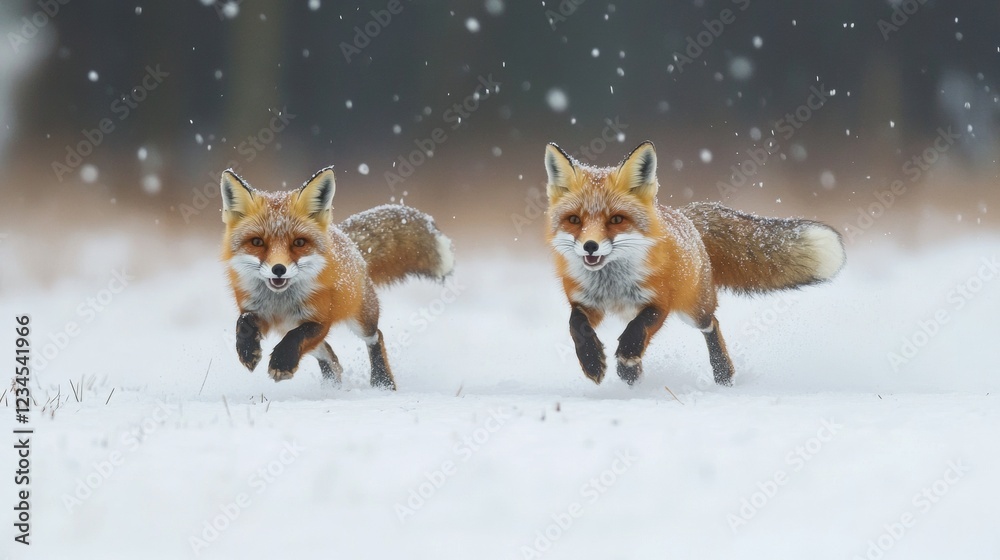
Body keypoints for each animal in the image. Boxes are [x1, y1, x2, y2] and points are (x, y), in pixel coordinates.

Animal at [220, 166, 455, 390]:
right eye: (257, 242)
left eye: (299, 243)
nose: (279, 269)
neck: (280, 302)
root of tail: (349, 242)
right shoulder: (256, 311)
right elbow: (243, 322)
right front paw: (248, 351)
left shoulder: (320, 319)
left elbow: (296, 337)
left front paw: (282, 363)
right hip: (295, 329)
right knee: (329, 355)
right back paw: (332, 386)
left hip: (361, 319)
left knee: (375, 337)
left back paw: (383, 383)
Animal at [544, 141, 846, 386]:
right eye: (574, 220)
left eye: (616, 219)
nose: (590, 246)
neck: (612, 285)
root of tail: (685, 218)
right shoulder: (585, 302)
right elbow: (576, 326)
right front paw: (593, 361)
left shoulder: (660, 300)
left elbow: (639, 327)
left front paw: (627, 357)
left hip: (693, 307)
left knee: (712, 323)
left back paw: (722, 373)